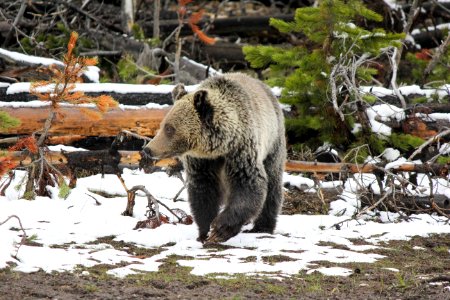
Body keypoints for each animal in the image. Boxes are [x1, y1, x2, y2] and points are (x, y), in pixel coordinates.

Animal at [144, 72, 284, 244]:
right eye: (163, 125)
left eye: (169, 128)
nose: (148, 149)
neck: (218, 148)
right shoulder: (202, 162)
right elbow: (204, 192)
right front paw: (204, 232)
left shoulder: (241, 151)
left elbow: (249, 186)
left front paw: (220, 228)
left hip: (273, 143)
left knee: (273, 184)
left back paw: (263, 227)